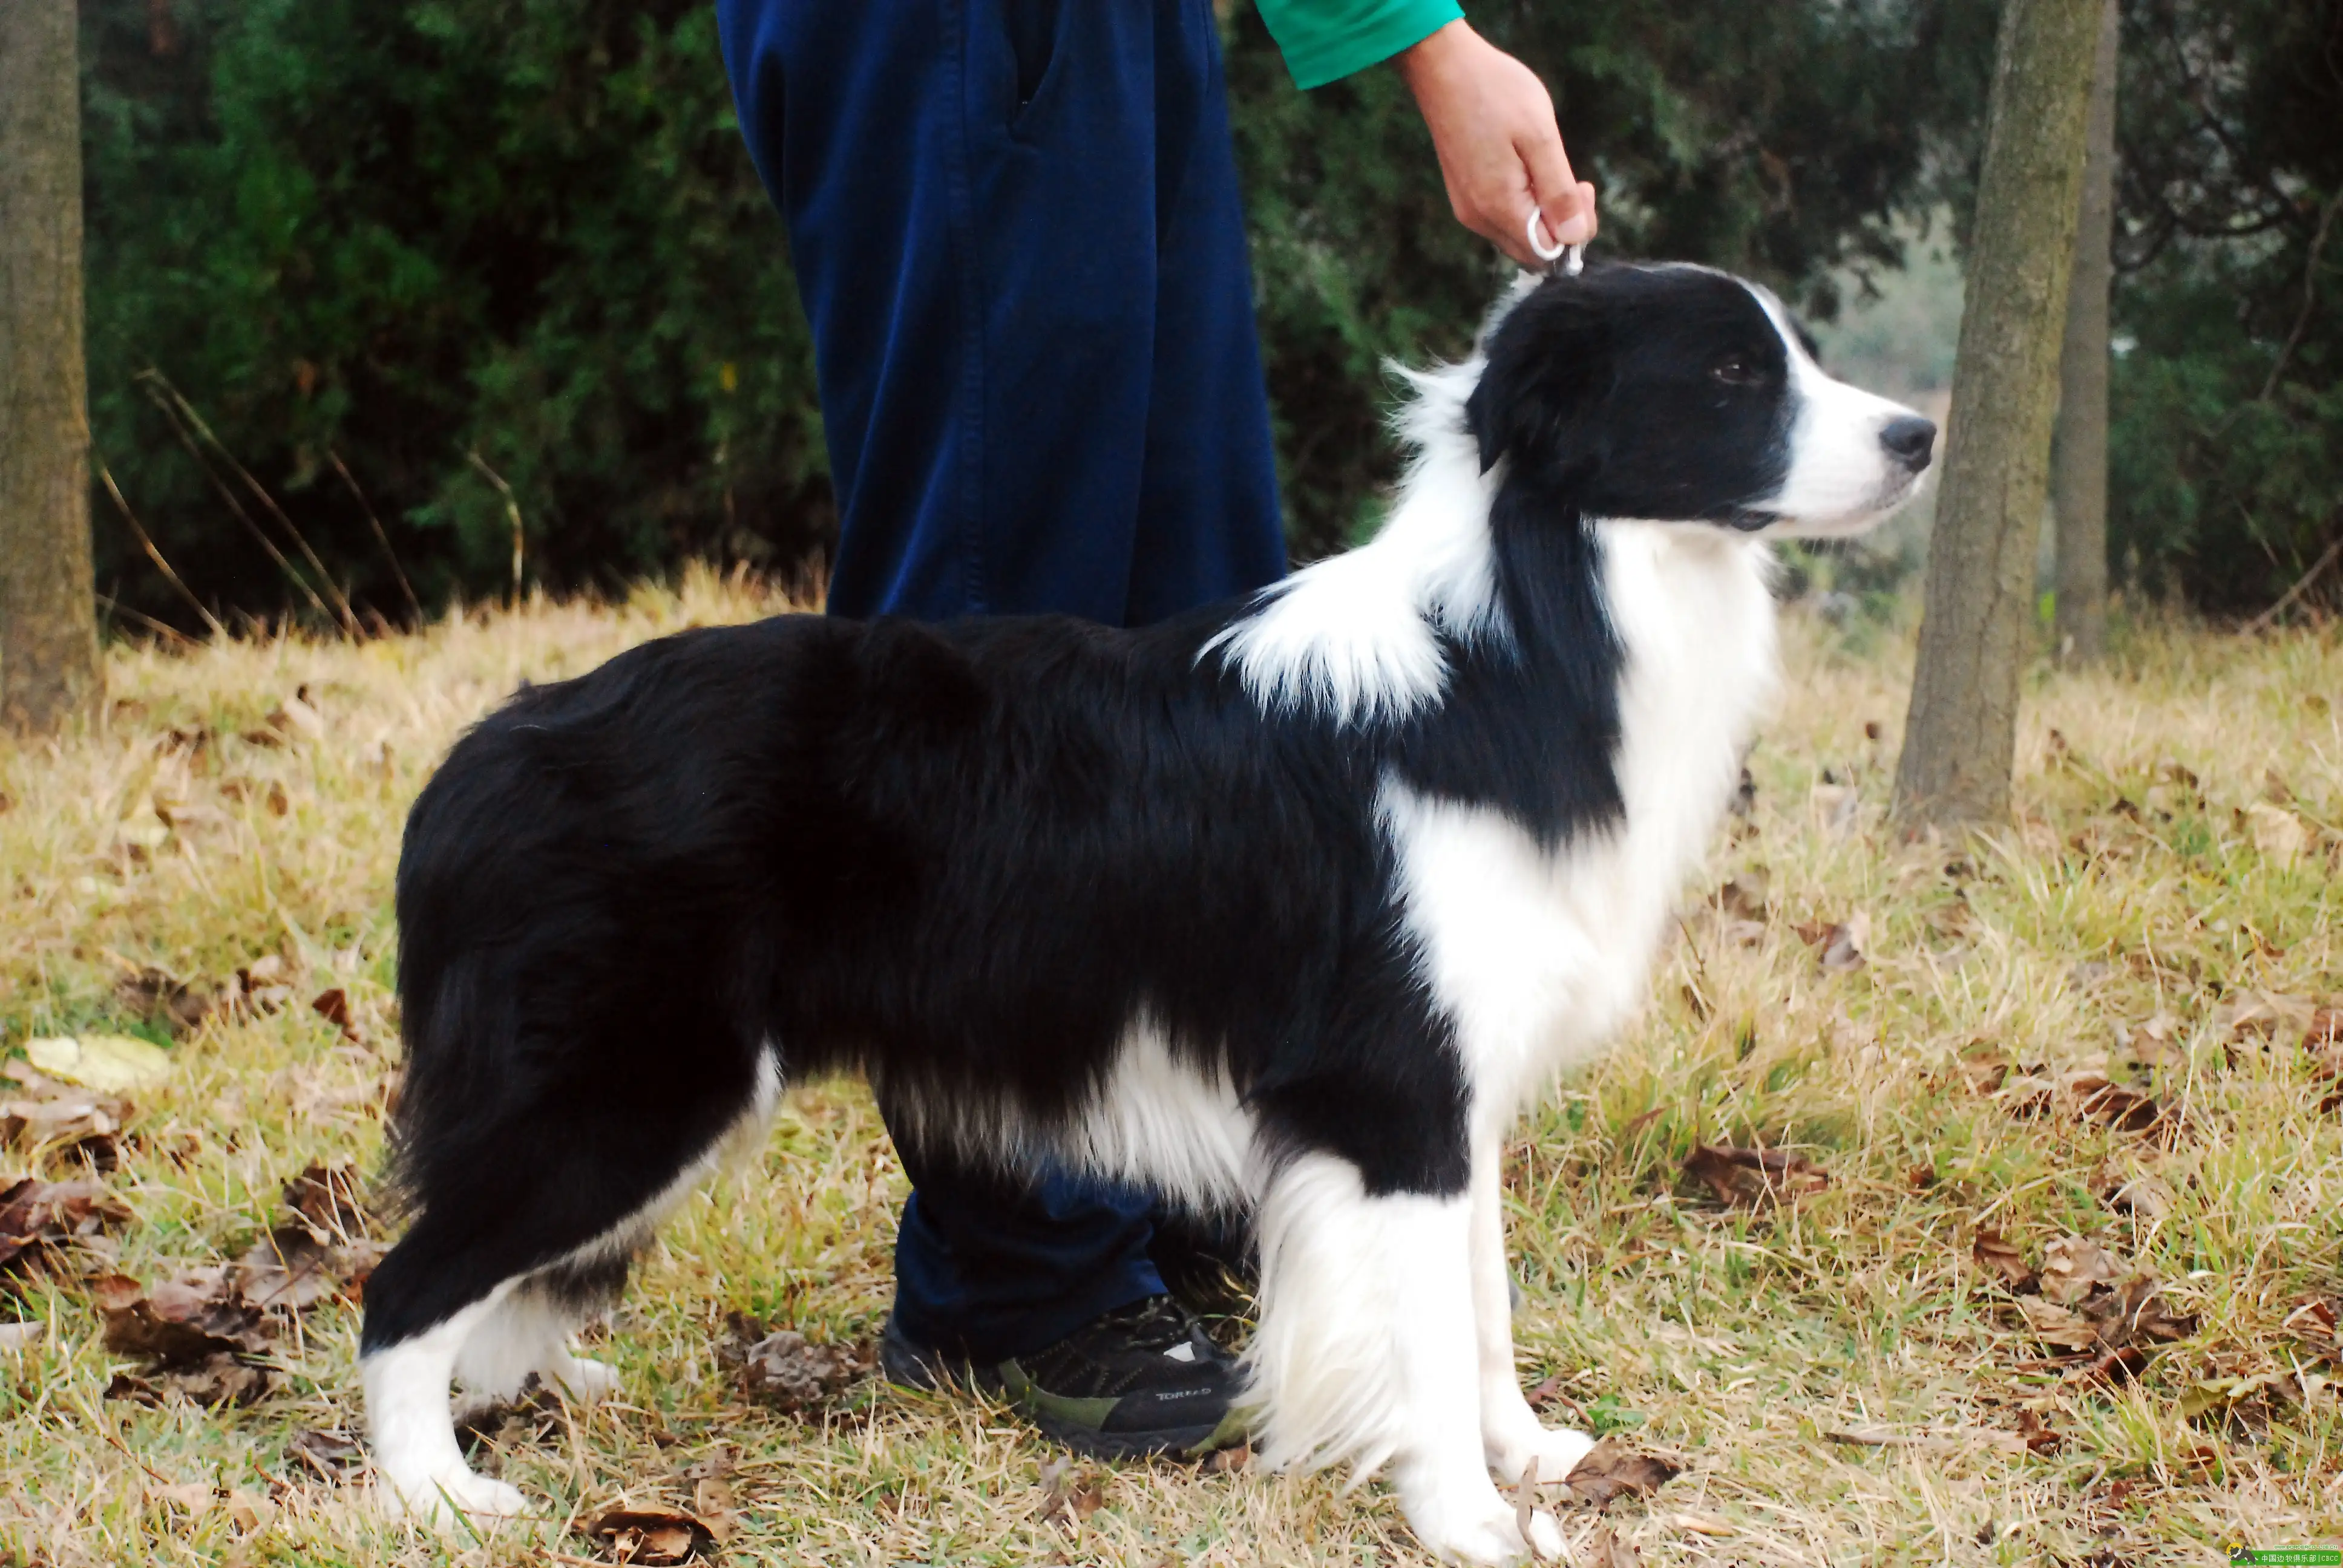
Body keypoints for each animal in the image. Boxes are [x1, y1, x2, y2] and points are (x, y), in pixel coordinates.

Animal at [365, 256, 1930, 1556]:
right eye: (1730, 373)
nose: (1919, 434)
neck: (1517, 637)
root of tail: (478, 757)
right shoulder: (1385, 1092)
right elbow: (1425, 1334)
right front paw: (1467, 1522)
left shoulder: (1456, 1091)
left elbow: (1480, 1306)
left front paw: (1528, 1455)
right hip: (630, 1089)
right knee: (401, 1287)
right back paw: (437, 1494)